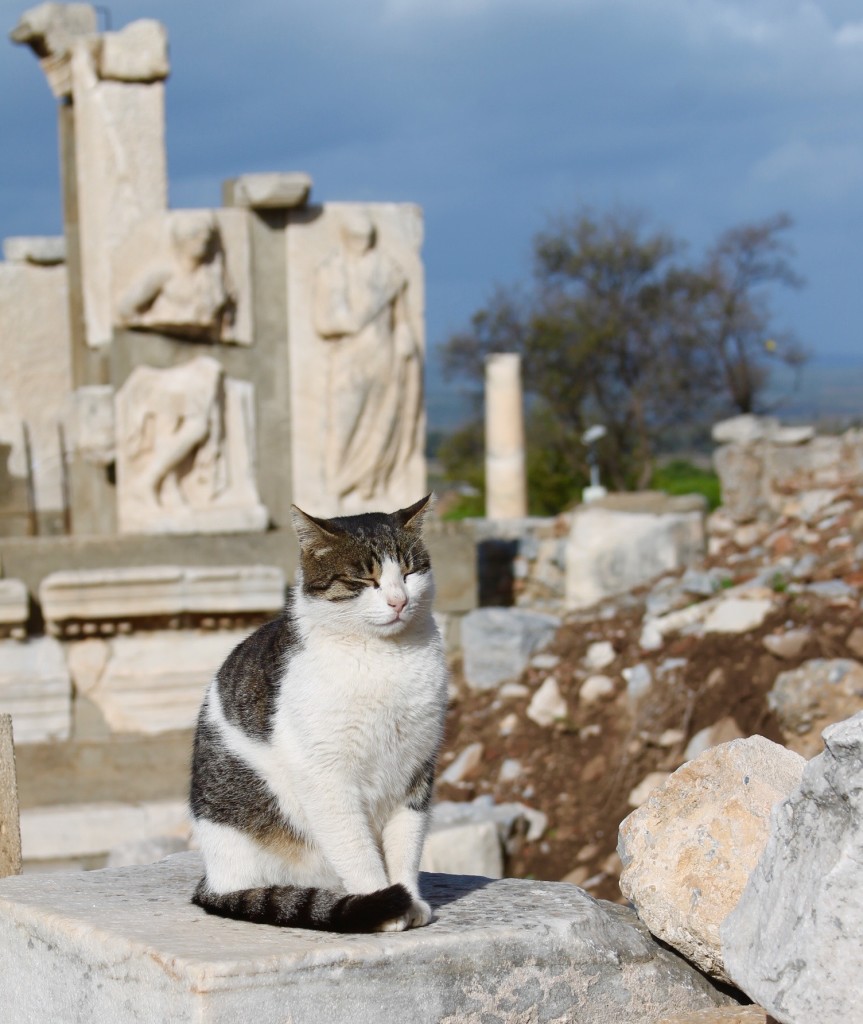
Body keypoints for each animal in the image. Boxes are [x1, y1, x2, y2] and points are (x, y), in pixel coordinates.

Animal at [186, 495, 448, 937]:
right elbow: (357, 851)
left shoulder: (416, 770)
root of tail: (214, 881)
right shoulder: (327, 775)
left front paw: (409, 901)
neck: (385, 658)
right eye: (364, 579)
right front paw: (383, 904)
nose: (399, 600)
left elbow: (406, 846)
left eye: (410, 572)